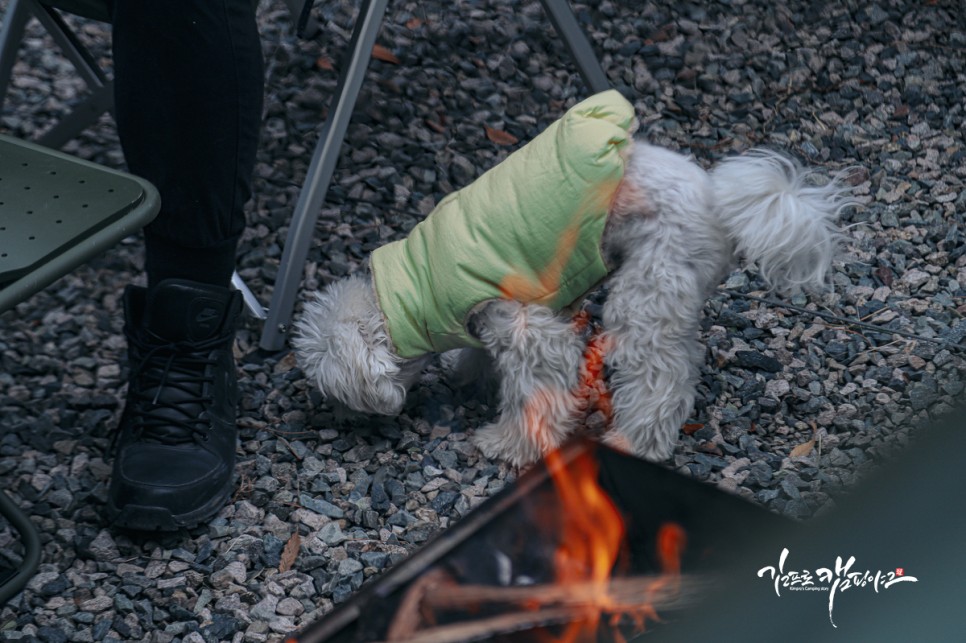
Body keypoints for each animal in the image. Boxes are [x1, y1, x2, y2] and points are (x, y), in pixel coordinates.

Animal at [294, 90, 856, 466]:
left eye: (332, 389)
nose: (338, 418)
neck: (412, 289)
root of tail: (722, 206)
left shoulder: (525, 328)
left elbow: (534, 392)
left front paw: (507, 444)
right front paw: (467, 371)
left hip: (645, 290)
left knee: (663, 380)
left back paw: (635, 441)